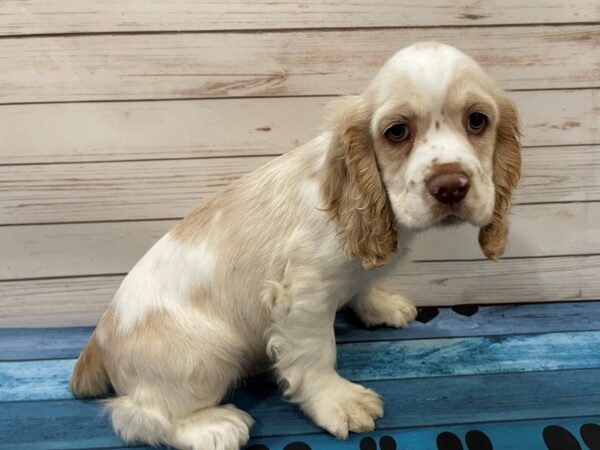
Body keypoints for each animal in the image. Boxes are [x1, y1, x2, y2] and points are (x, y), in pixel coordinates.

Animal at [70, 40, 520, 448]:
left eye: (477, 120)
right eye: (397, 132)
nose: (450, 186)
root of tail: (100, 341)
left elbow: (364, 285)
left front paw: (381, 306)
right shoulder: (302, 296)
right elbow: (316, 354)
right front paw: (339, 403)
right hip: (206, 353)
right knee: (140, 417)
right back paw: (213, 427)